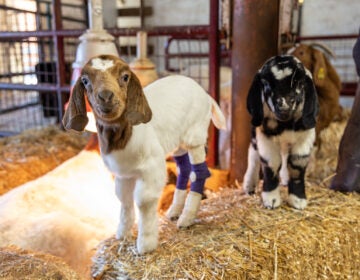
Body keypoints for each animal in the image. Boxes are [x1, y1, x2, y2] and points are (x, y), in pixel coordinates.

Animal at [62, 54, 225, 254]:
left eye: (125, 77)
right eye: (85, 80)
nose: (106, 97)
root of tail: (206, 95)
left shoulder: (152, 167)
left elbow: (144, 201)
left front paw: (145, 244)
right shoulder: (124, 173)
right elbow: (123, 198)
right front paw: (122, 233)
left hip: (195, 134)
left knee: (200, 172)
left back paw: (186, 219)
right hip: (178, 142)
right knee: (184, 169)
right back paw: (174, 211)